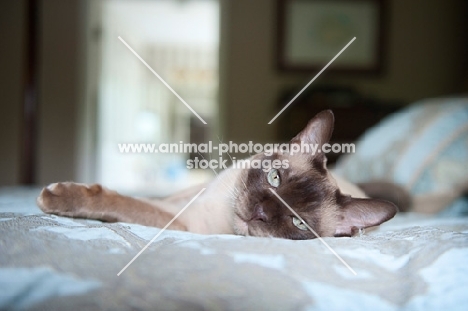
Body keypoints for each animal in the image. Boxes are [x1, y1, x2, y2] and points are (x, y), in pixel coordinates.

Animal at [35, 111, 398, 240]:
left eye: (299, 223)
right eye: (274, 179)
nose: (260, 212)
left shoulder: (180, 219)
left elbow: (123, 202)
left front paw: (53, 197)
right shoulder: (182, 199)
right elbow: (141, 198)